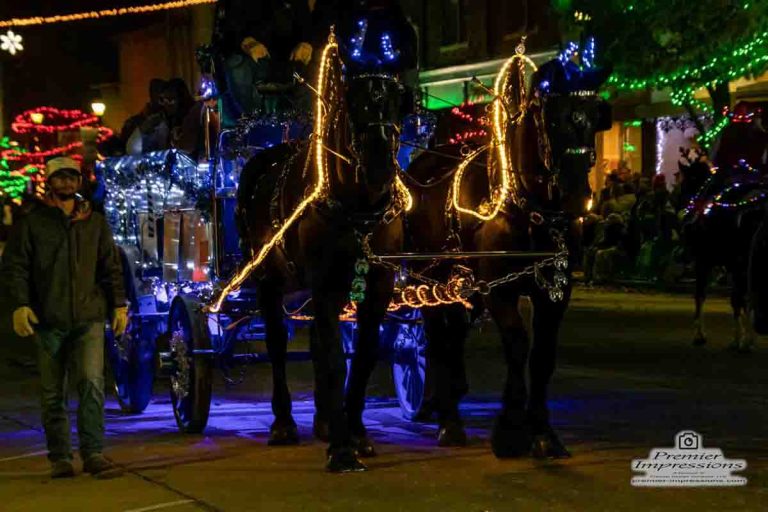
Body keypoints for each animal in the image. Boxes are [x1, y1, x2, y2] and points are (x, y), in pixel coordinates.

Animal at [236, 41, 408, 472]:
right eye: (353, 103)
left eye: (399, 101)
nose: (380, 165)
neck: (358, 207)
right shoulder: (326, 285)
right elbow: (333, 360)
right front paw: (343, 450)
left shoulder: (377, 285)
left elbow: (361, 356)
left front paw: (354, 432)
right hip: (269, 281)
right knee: (278, 347)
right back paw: (283, 424)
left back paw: (325, 421)